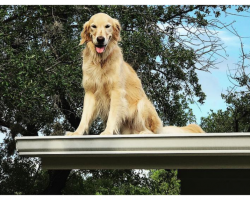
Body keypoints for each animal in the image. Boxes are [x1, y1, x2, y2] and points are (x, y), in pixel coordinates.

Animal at [65, 13, 204, 136]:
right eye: (93, 26)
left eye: (107, 26)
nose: (100, 39)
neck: (101, 61)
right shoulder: (90, 92)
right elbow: (84, 117)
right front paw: (76, 133)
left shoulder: (116, 91)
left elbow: (112, 115)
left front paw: (108, 132)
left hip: (142, 104)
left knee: (151, 131)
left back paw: (144, 132)